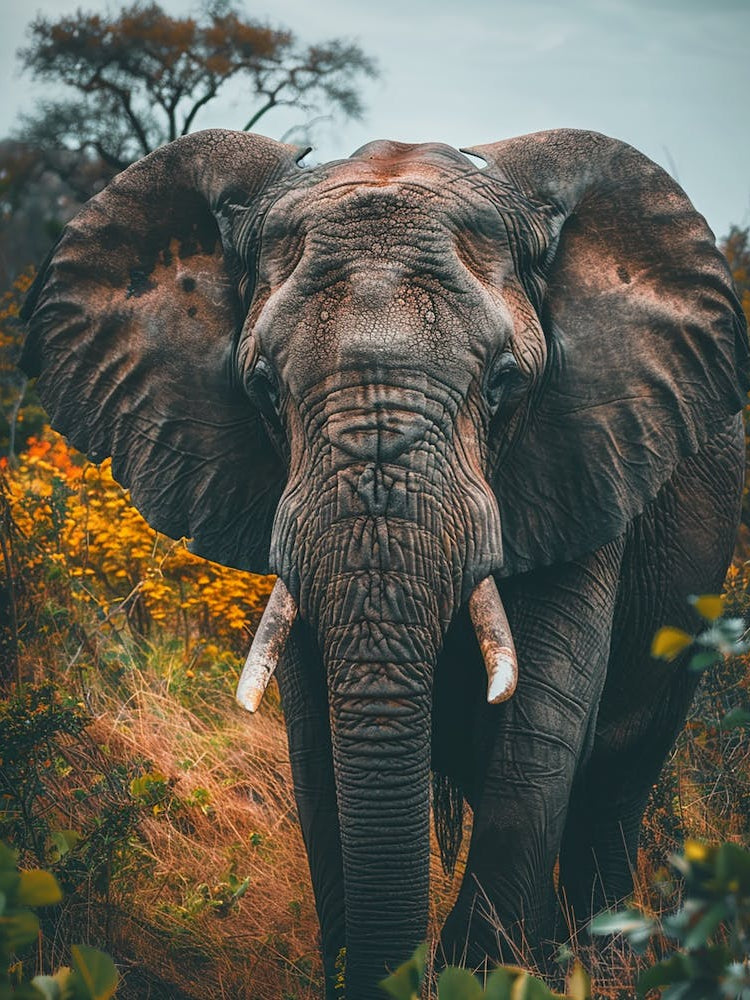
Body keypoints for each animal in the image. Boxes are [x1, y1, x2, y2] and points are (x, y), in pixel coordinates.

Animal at [21, 127, 749, 998]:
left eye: (505, 383)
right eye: (262, 388)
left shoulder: (584, 459)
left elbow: (539, 736)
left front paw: (487, 974)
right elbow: (318, 757)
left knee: (611, 786)